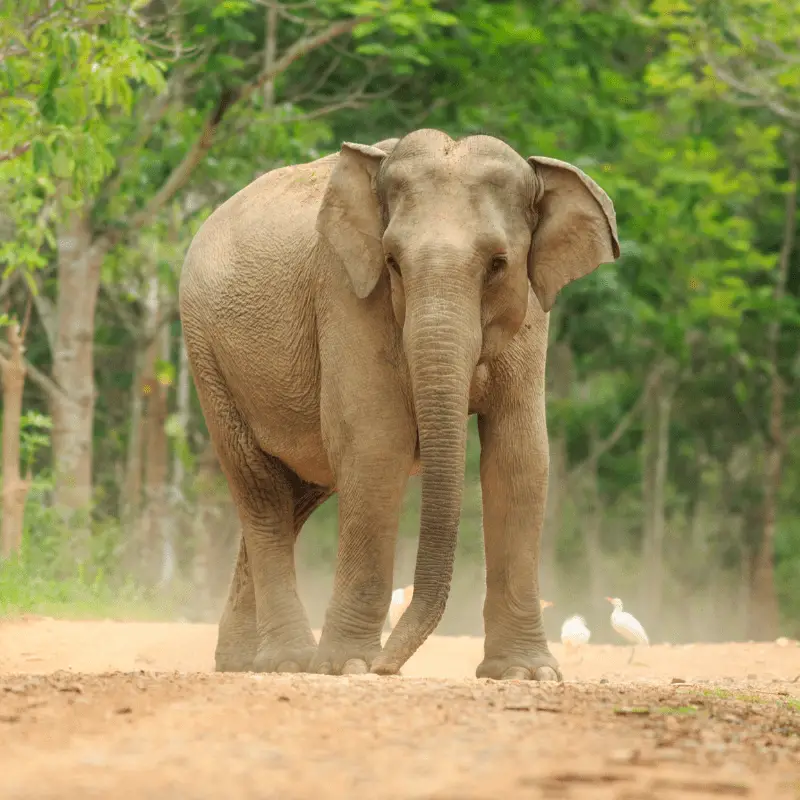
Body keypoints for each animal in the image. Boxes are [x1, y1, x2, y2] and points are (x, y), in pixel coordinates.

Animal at [181, 126, 620, 680]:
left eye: (498, 264)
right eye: (392, 263)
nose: (389, 668)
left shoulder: (531, 314)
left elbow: (519, 459)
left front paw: (525, 674)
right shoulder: (346, 293)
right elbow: (376, 444)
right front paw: (347, 666)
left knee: (296, 491)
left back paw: (242, 663)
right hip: (207, 354)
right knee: (261, 489)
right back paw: (288, 661)